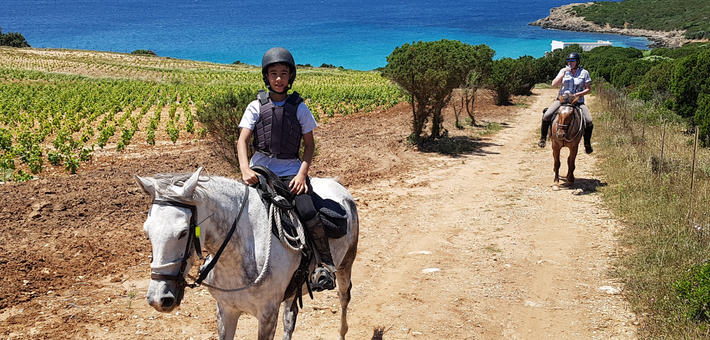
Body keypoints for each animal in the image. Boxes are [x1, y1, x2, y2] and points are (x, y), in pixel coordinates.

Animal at [136, 168, 362, 340]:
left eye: (183, 232)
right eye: (146, 231)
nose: (159, 299)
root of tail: (336, 185)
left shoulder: (267, 314)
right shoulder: (226, 310)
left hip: (345, 266)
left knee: (344, 298)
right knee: (290, 319)